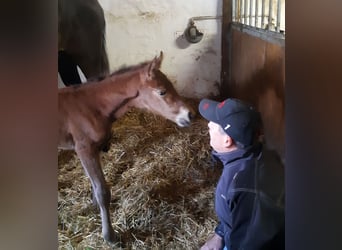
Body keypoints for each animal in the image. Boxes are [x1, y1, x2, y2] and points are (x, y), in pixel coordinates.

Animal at [58, 51, 195, 243]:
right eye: (161, 92)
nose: (190, 115)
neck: (92, 106)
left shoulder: (94, 148)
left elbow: (95, 185)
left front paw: (94, 206)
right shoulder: (84, 148)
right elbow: (102, 191)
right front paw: (109, 235)